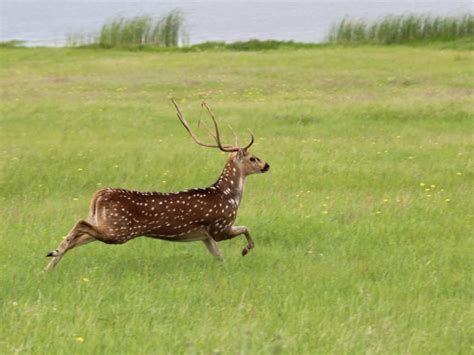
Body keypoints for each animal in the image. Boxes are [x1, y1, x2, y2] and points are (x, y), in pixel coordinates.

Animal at [45, 98, 268, 272]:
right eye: (253, 158)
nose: (267, 165)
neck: (227, 195)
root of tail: (99, 194)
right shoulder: (219, 226)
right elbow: (246, 228)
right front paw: (245, 250)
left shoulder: (205, 235)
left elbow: (219, 256)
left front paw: (228, 266)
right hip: (119, 229)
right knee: (80, 224)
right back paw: (52, 256)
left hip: (106, 223)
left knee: (77, 236)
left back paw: (48, 265)